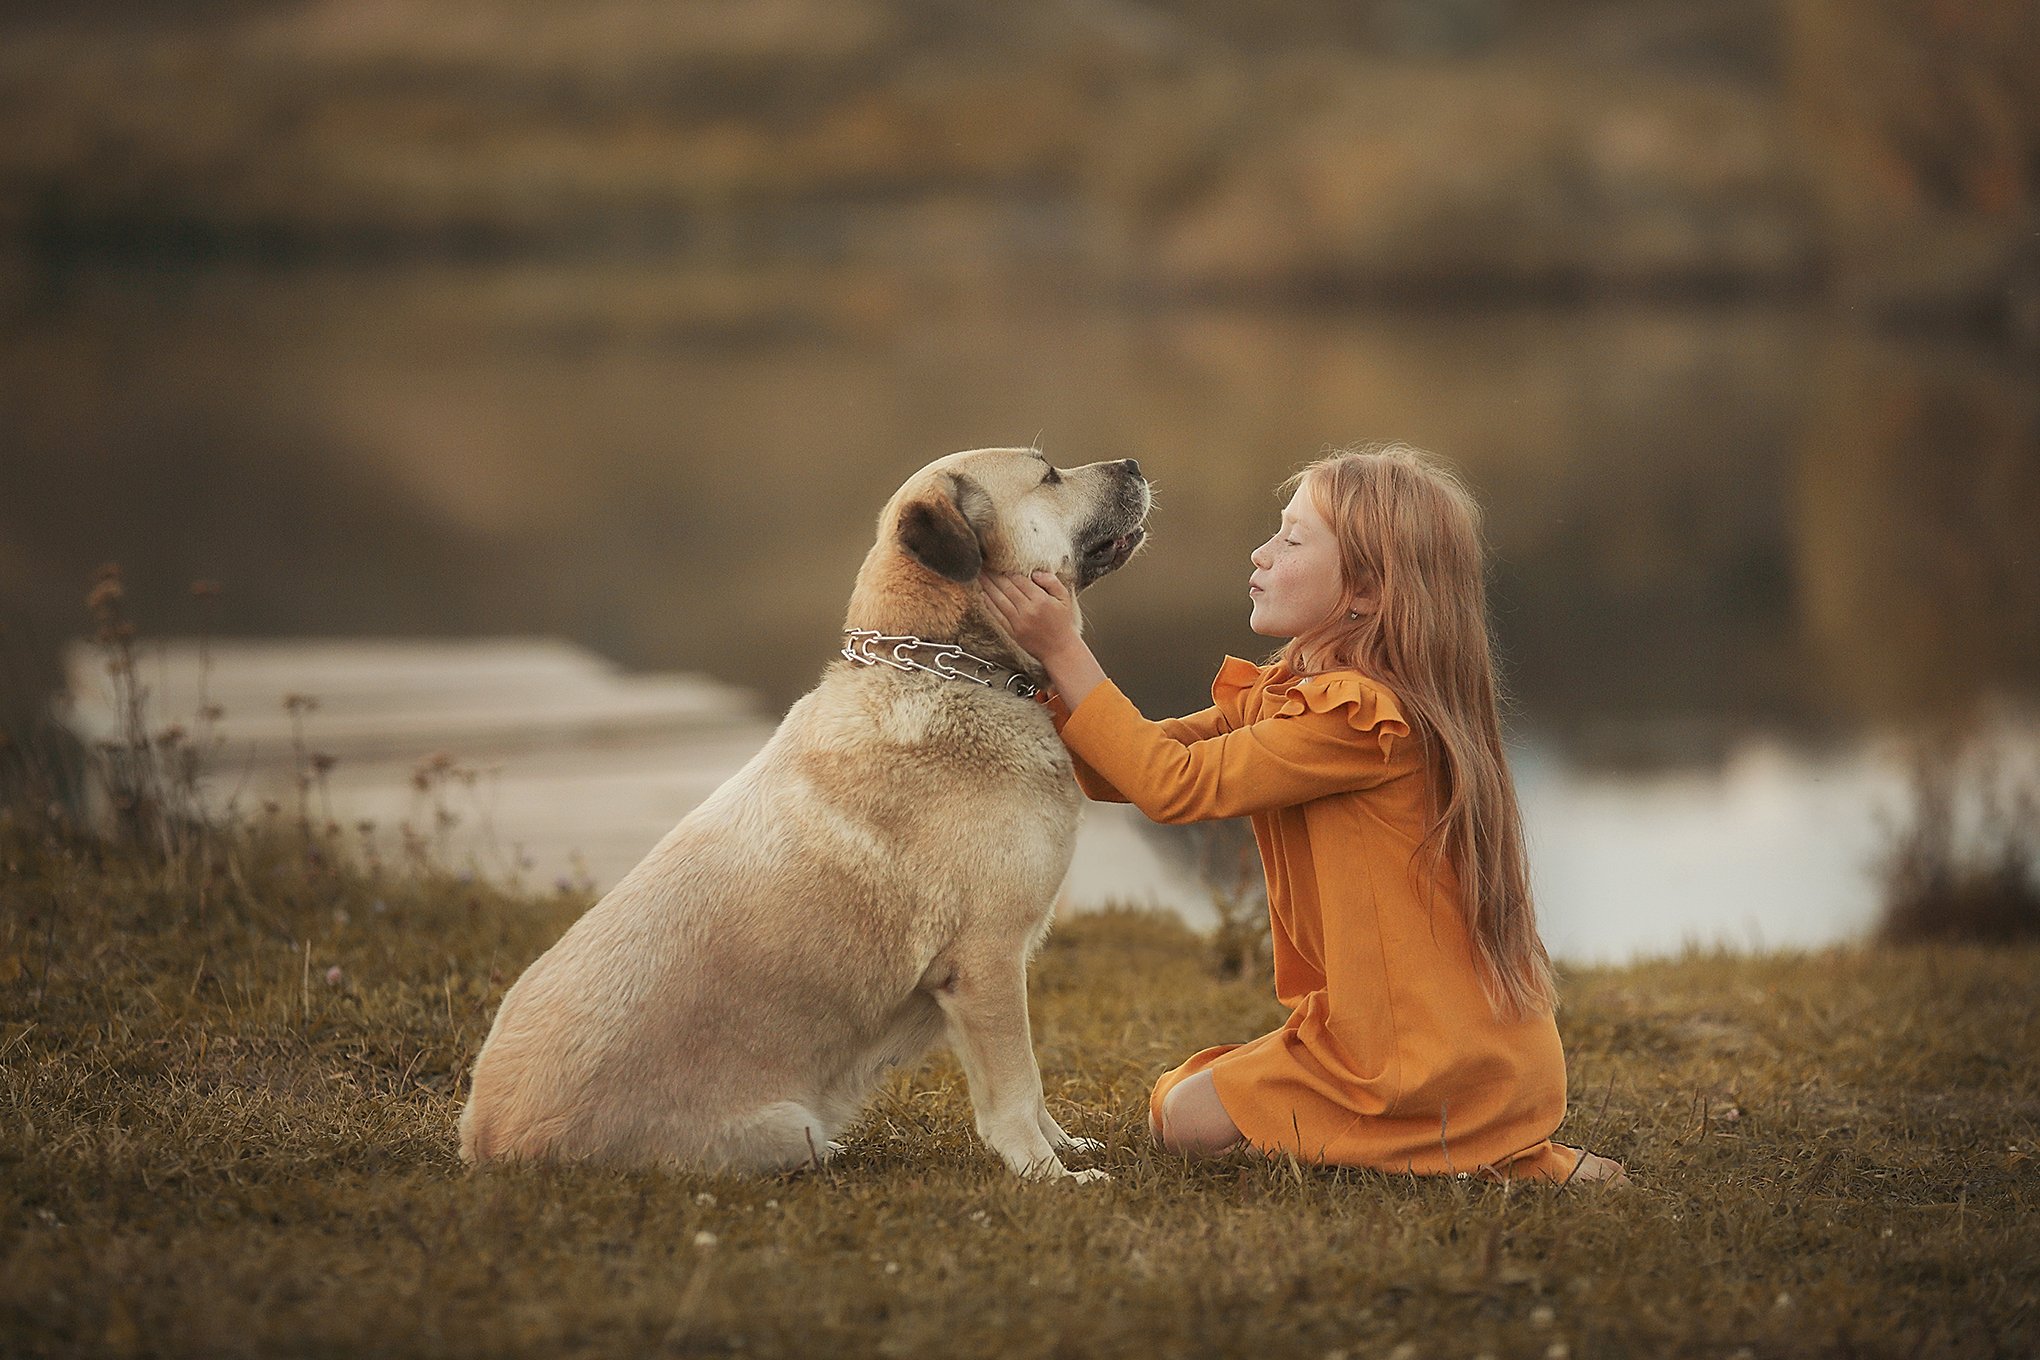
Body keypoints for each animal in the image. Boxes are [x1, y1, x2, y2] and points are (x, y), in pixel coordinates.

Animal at [465, 446, 1158, 1182]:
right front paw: (1048, 1177)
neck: (947, 666)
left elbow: (1030, 1092)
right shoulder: (985, 964)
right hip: (782, 1126)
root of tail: (487, 1139)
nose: (1134, 463)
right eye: (1048, 475)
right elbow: (1018, 1088)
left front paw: (1063, 1149)